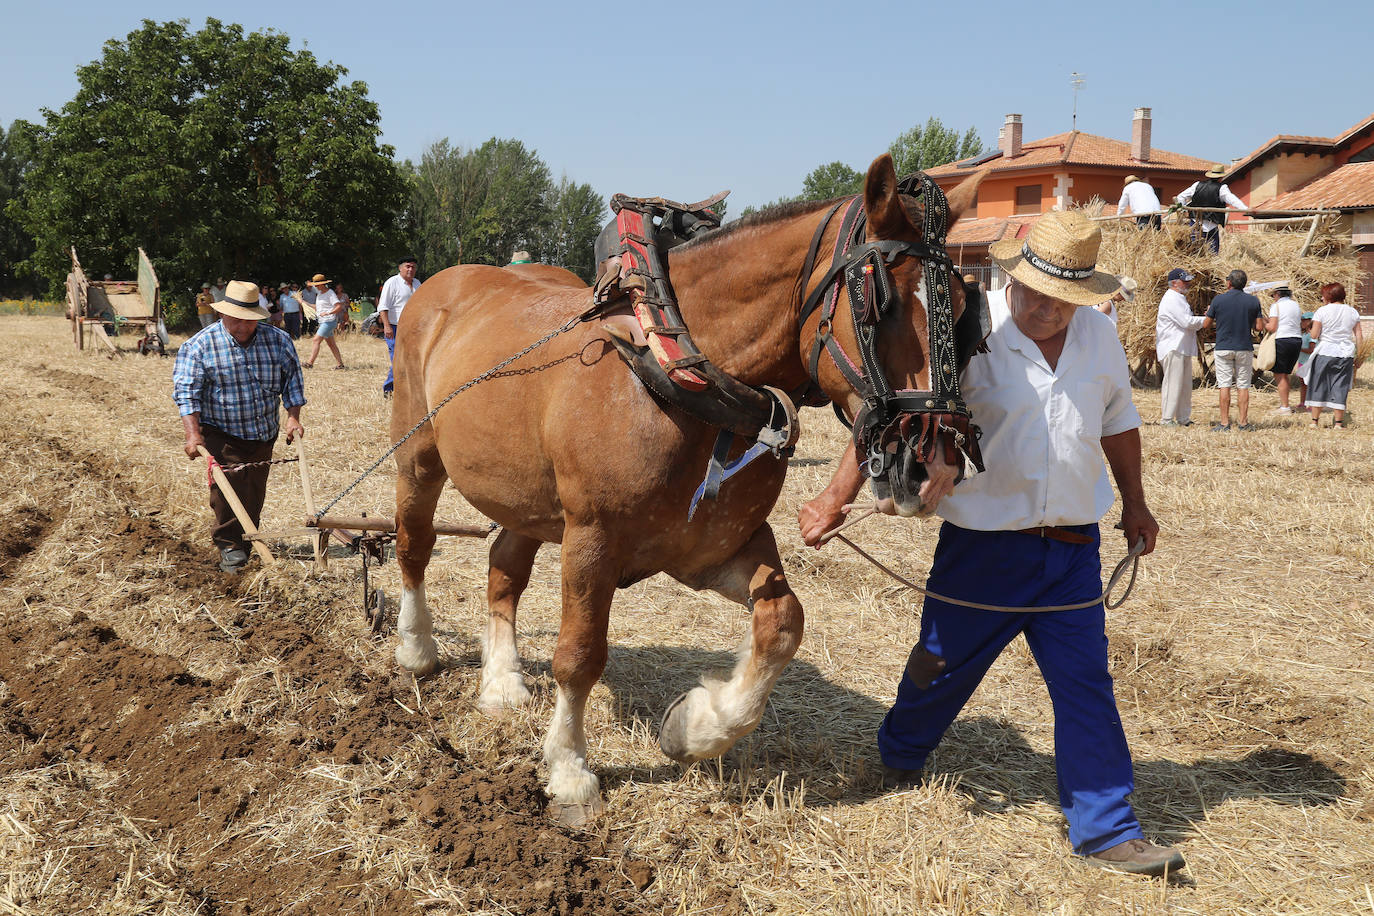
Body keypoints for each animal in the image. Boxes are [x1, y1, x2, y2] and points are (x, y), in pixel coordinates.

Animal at [392, 153, 983, 829]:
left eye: (964, 307)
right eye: (881, 300)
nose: (932, 467)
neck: (675, 375)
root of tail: (445, 284)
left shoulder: (712, 548)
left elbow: (783, 622)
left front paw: (695, 727)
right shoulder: (591, 540)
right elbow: (579, 653)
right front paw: (570, 769)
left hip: (527, 498)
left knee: (503, 570)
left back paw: (502, 682)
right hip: (418, 455)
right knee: (414, 544)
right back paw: (417, 648)